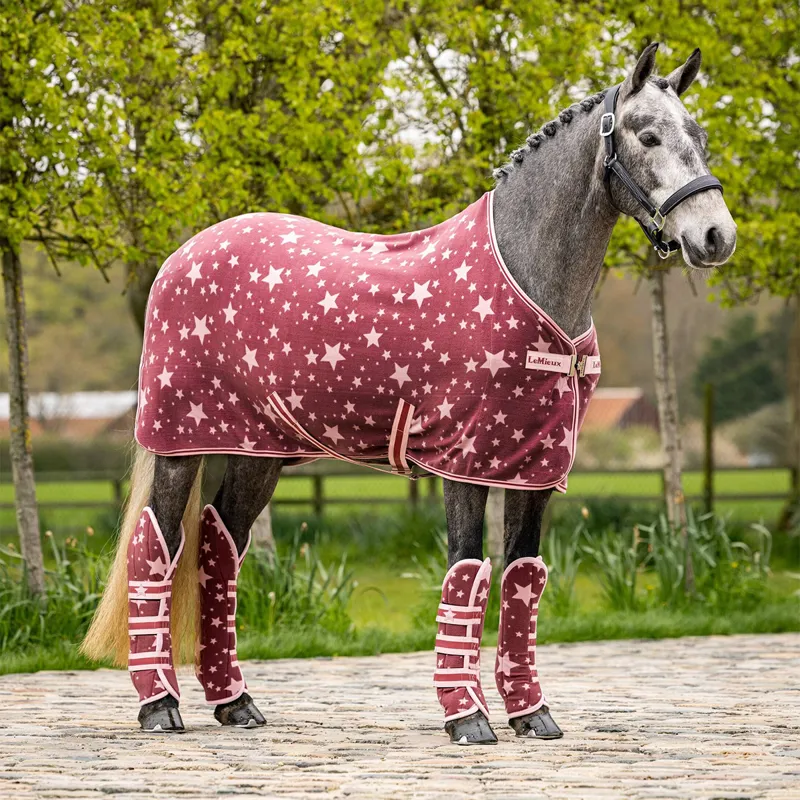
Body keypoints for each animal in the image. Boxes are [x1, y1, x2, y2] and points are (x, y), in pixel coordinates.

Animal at [82, 43, 737, 743]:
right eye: (648, 136)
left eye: (699, 135)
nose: (716, 237)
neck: (529, 279)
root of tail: (182, 258)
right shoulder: (464, 463)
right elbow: (467, 573)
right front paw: (467, 717)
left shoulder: (532, 467)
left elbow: (522, 578)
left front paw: (532, 714)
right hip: (181, 443)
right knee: (155, 549)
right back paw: (160, 706)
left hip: (257, 454)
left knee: (219, 549)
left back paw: (235, 702)